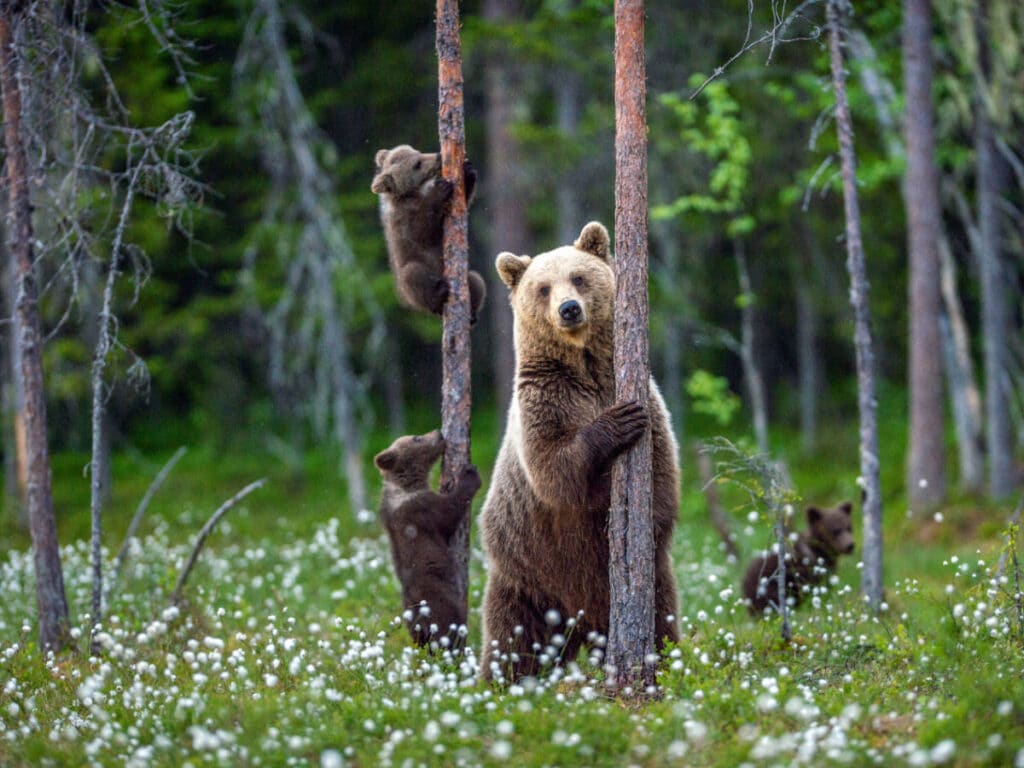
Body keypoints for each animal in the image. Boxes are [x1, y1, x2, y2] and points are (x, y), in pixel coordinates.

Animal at [371, 144, 486, 324]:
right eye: (417, 164)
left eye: (417, 152)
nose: (439, 156)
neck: (414, 193)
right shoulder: (403, 220)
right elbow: (422, 232)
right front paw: (441, 189)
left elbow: (462, 204)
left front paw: (467, 170)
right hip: (410, 282)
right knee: (413, 275)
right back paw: (439, 294)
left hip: (467, 279)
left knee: (476, 279)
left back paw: (472, 314)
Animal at [373, 429, 481, 650]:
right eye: (416, 438)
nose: (439, 433)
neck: (406, 485)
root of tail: (419, 620)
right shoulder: (421, 510)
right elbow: (449, 512)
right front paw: (470, 475)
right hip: (438, 600)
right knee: (450, 626)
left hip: (410, 622)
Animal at [478, 221, 681, 683]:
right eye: (542, 287)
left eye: (579, 277)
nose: (569, 309)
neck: (584, 366)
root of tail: (581, 624)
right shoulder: (545, 400)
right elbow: (555, 470)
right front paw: (617, 423)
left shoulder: (647, 400)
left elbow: (661, 476)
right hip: (527, 575)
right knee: (512, 639)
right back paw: (498, 684)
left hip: (650, 584)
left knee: (662, 618)